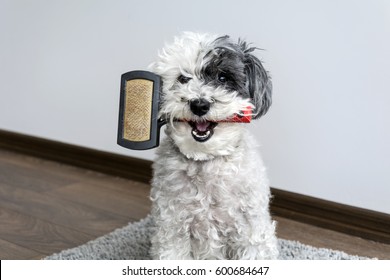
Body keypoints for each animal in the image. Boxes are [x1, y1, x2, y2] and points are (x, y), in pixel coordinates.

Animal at [149, 31, 278, 260]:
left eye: (223, 78)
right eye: (183, 78)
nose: (199, 104)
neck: (206, 160)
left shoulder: (251, 232)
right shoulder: (172, 228)